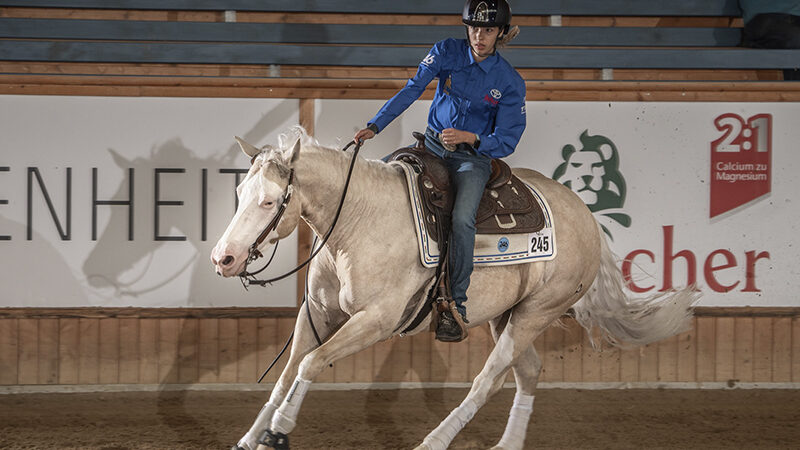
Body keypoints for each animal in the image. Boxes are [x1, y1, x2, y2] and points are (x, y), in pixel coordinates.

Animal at [209, 127, 696, 450]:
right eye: (239, 191)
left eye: (269, 201)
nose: (224, 258)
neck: (359, 221)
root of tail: (586, 215)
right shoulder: (318, 314)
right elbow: (287, 374)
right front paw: (251, 438)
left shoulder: (376, 321)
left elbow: (311, 364)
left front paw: (278, 431)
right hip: (508, 315)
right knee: (526, 371)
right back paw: (506, 445)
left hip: (536, 313)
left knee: (487, 380)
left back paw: (434, 441)